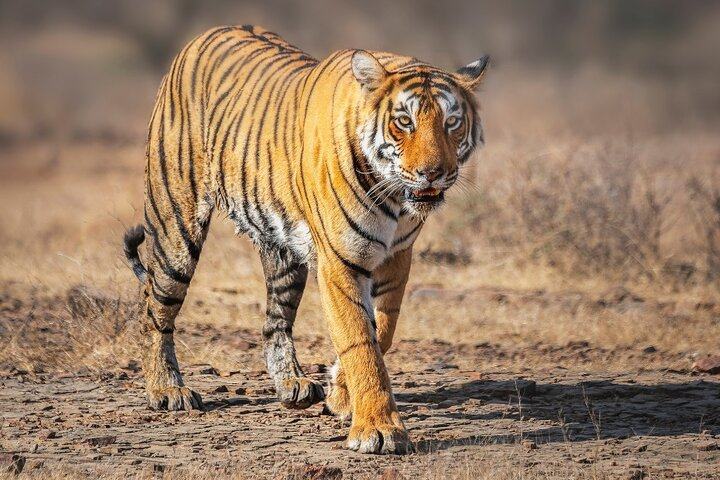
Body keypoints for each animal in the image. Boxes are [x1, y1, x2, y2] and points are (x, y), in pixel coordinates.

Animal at [123, 24, 488, 454]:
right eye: (404, 121)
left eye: (452, 122)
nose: (433, 173)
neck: (397, 200)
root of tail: (206, 33)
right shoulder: (340, 261)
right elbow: (360, 341)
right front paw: (378, 429)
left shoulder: (397, 258)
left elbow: (382, 331)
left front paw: (341, 395)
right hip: (176, 228)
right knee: (155, 309)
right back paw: (166, 390)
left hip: (284, 255)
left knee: (274, 322)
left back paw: (292, 385)